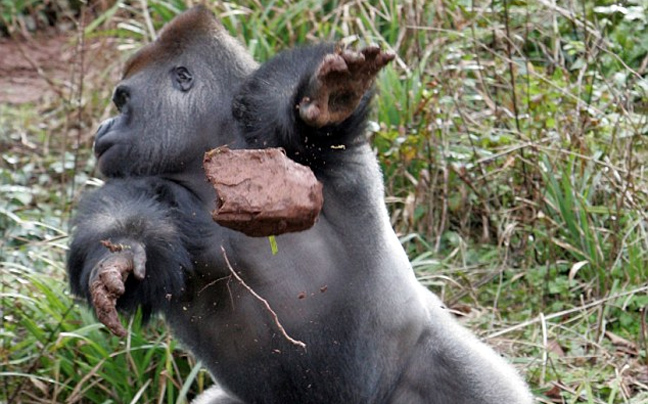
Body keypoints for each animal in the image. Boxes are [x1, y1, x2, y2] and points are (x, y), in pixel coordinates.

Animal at [68, 6, 536, 404]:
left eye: (123, 101)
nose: (102, 129)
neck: (210, 157)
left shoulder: (285, 140)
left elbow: (307, 123)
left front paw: (328, 99)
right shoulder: (160, 188)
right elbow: (134, 227)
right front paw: (115, 260)